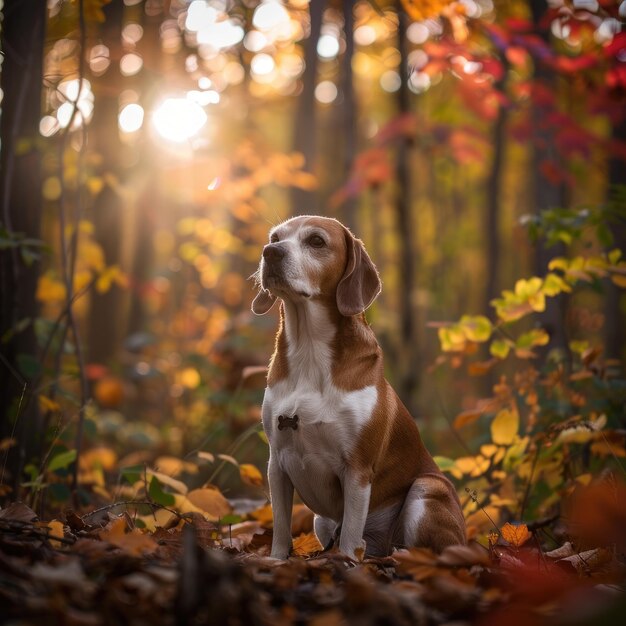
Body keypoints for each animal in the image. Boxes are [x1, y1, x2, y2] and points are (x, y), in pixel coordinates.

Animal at [250, 214, 464, 556]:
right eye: (275, 238)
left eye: (316, 241)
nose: (270, 252)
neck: (309, 350)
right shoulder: (277, 464)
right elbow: (281, 530)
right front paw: (277, 560)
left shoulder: (357, 470)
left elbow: (350, 536)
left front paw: (346, 562)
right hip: (322, 521)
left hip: (427, 489)